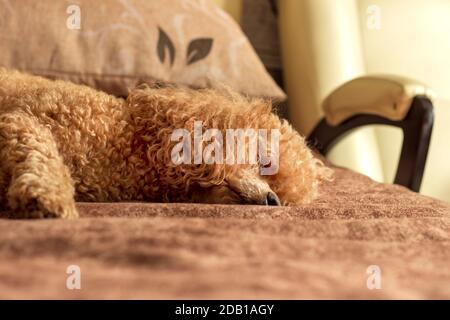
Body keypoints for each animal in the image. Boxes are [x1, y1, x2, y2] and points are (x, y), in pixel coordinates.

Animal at [0, 68, 330, 219]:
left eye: (284, 198)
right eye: (264, 161)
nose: (273, 201)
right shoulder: (19, 120)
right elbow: (42, 154)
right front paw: (45, 197)